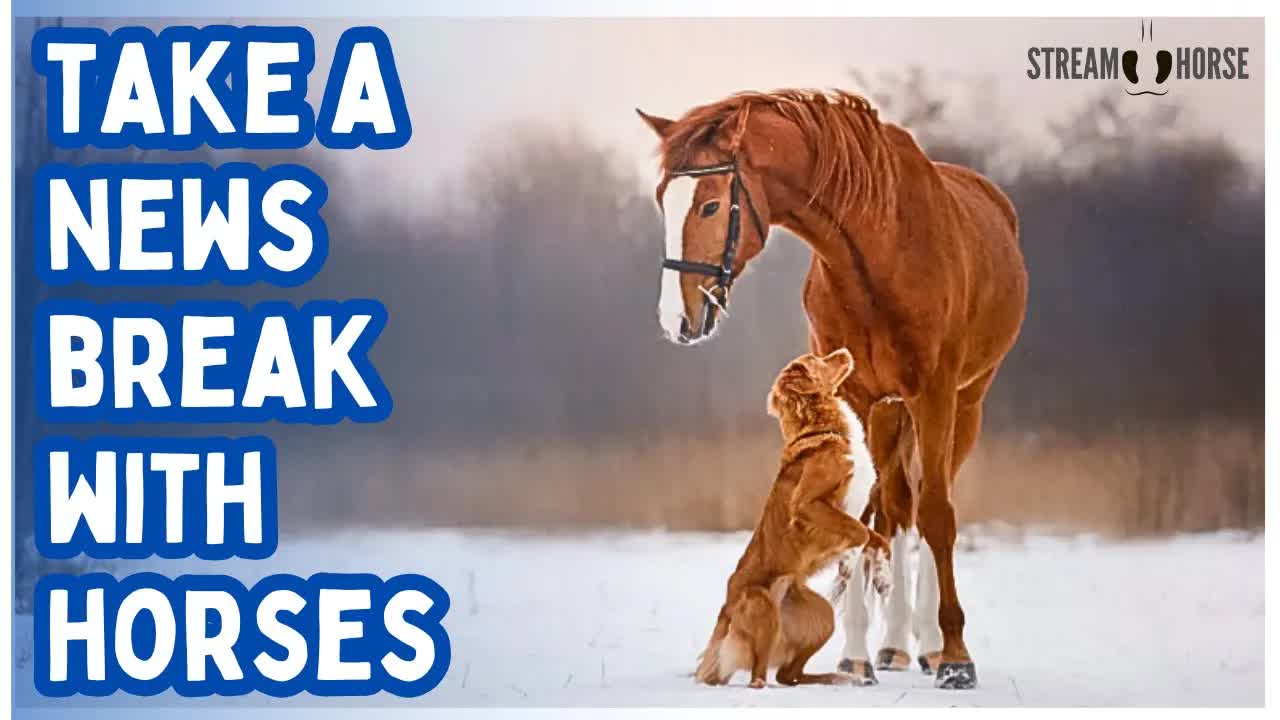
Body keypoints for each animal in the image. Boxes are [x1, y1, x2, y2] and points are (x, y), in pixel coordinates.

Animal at [637, 90, 1027, 690]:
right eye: (663, 200)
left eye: (708, 206)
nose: (674, 318)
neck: (881, 249)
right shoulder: (863, 399)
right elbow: (867, 517)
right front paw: (859, 655)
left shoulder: (936, 394)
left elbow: (938, 517)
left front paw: (957, 658)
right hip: (893, 414)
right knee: (896, 509)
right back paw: (893, 646)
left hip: (967, 405)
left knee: (928, 507)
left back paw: (932, 647)